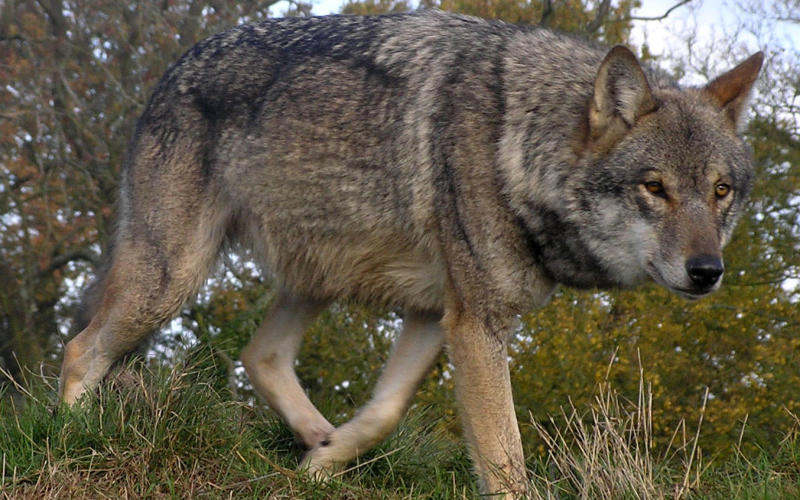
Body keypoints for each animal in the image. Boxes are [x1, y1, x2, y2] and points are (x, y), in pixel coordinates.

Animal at [59, 10, 763, 497]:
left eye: (720, 191)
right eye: (655, 188)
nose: (707, 272)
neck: (519, 141)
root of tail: (173, 70)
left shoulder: (437, 313)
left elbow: (385, 412)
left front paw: (325, 462)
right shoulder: (476, 322)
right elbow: (504, 458)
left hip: (317, 275)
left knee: (261, 354)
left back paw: (314, 439)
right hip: (172, 279)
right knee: (81, 349)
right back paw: (69, 439)